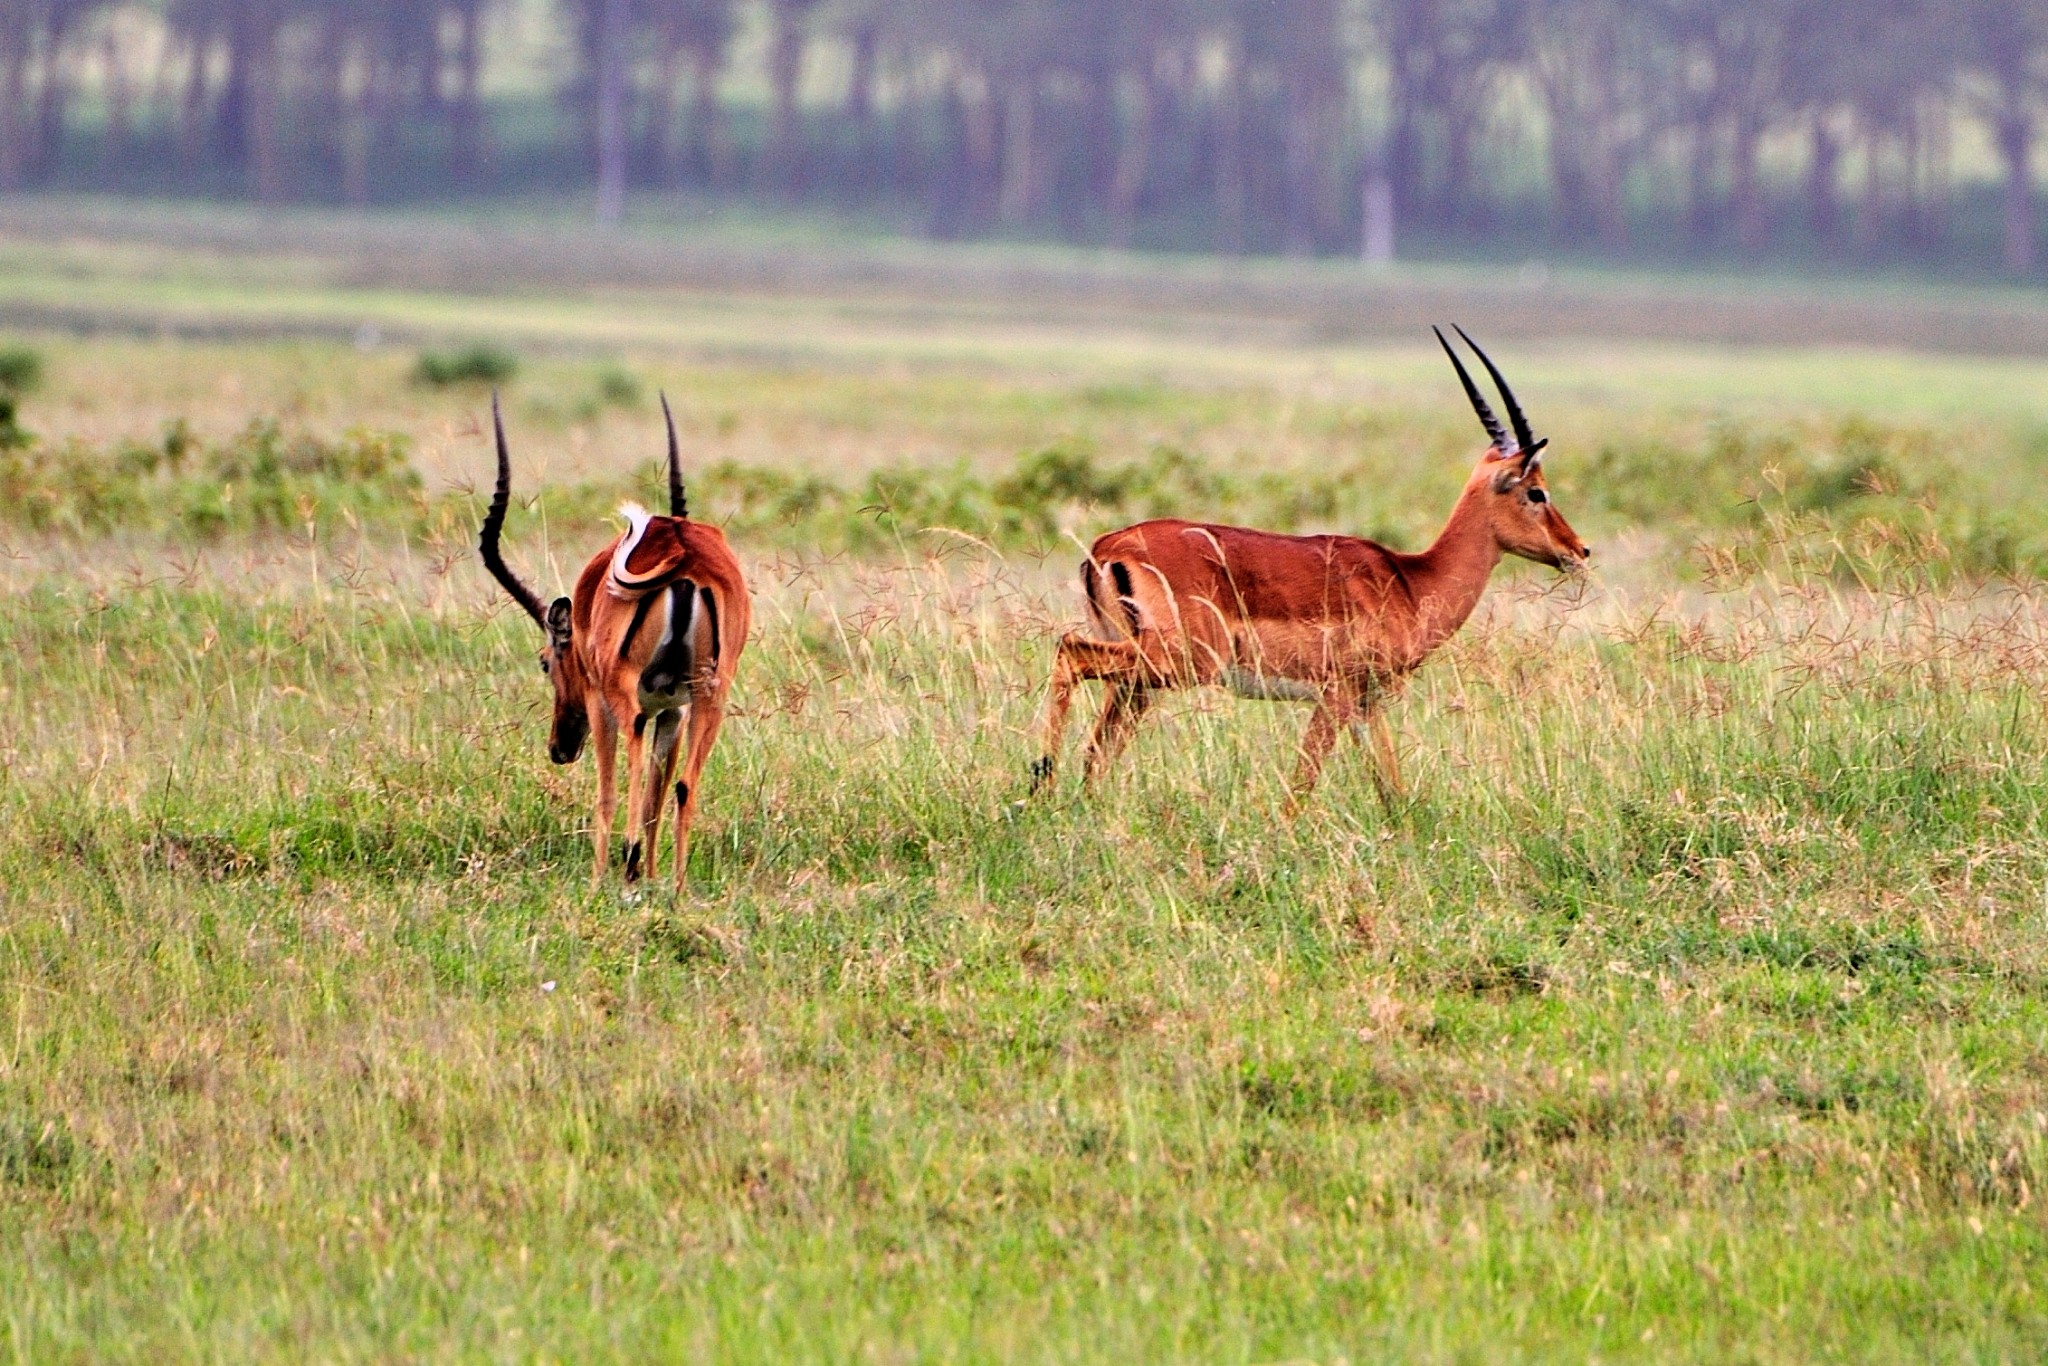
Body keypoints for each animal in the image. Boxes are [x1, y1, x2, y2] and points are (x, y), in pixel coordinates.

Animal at [481, 389, 753, 892]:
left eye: (545, 661)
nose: (560, 746)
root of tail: (682, 550)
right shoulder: (674, 710)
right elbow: (656, 798)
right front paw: (652, 877)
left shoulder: (600, 702)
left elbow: (608, 792)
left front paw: (601, 879)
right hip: (712, 693)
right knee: (684, 785)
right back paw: (678, 888)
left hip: (623, 692)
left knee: (633, 760)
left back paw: (626, 866)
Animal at [1032, 325, 1589, 806]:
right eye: (1536, 491)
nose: (1579, 551)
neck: (1410, 581)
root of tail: (1106, 546)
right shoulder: (1336, 694)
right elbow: (1301, 785)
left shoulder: (1368, 704)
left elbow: (1392, 788)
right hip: (1177, 662)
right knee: (1068, 654)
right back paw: (1039, 780)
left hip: (1140, 679)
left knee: (1097, 751)